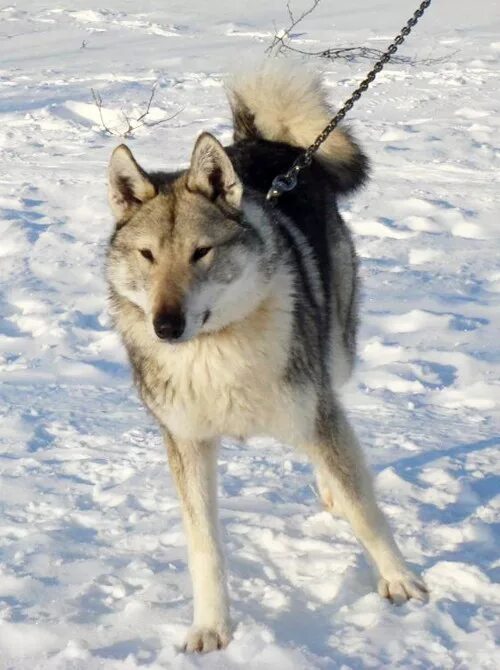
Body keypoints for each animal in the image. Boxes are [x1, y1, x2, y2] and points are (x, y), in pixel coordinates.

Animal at [107, 60, 428, 652]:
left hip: (334, 357)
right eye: (147, 255)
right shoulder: (186, 443)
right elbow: (205, 547)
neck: (214, 347)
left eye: (200, 253)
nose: (166, 326)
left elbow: (366, 511)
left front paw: (400, 580)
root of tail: (266, 144)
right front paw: (211, 629)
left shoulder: (315, 407)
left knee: (335, 432)